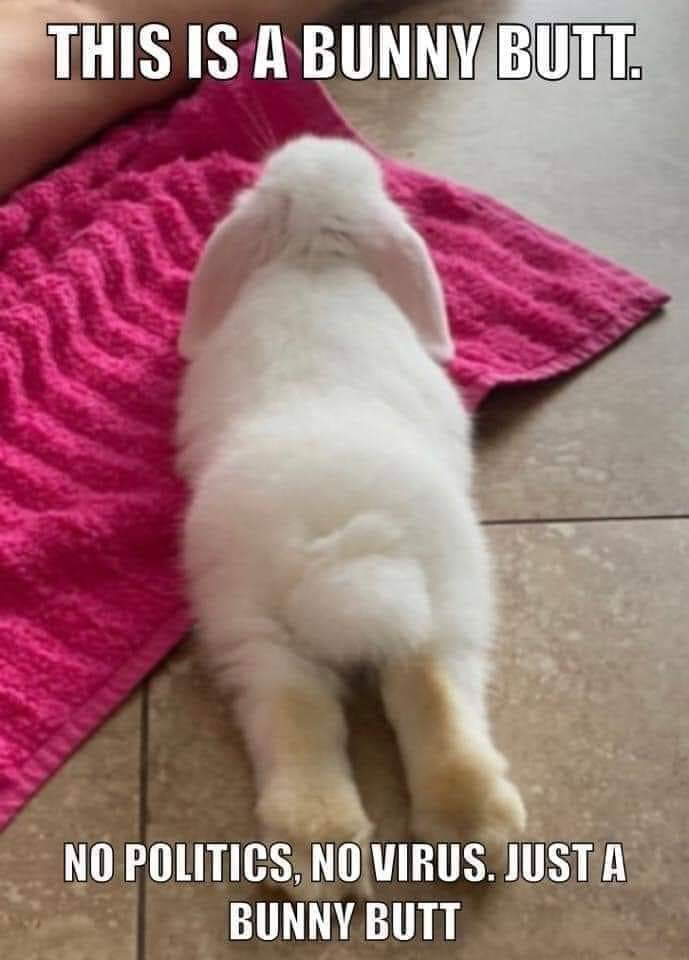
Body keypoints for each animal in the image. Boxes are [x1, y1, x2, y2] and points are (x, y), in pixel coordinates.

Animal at [175, 135, 525, 899]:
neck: (315, 259)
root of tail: (343, 545)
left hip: (259, 619)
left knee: (306, 710)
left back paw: (337, 847)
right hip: (432, 594)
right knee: (416, 686)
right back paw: (457, 826)